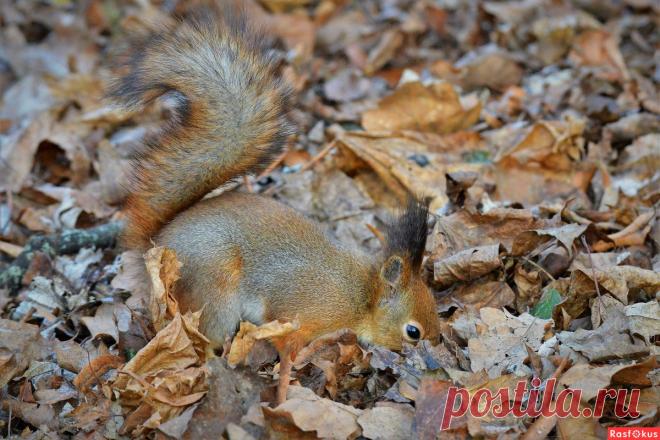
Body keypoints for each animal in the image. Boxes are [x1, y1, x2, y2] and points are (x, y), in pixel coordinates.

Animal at [111, 13, 440, 403]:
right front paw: (288, 380)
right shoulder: (304, 310)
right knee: (206, 337)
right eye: (413, 332)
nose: (436, 358)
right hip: (215, 289)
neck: (362, 296)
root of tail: (157, 244)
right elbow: (287, 342)